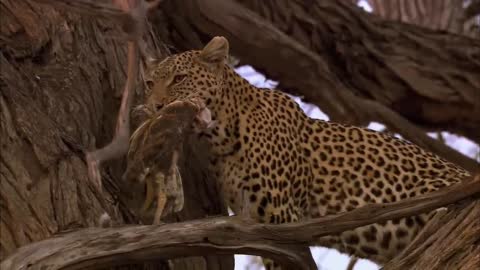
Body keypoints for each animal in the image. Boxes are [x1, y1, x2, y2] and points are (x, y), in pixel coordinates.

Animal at [142, 36, 472, 270]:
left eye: (179, 78)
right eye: (149, 83)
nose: (155, 106)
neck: (220, 134)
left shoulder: (278, 219)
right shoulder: (254, 222)